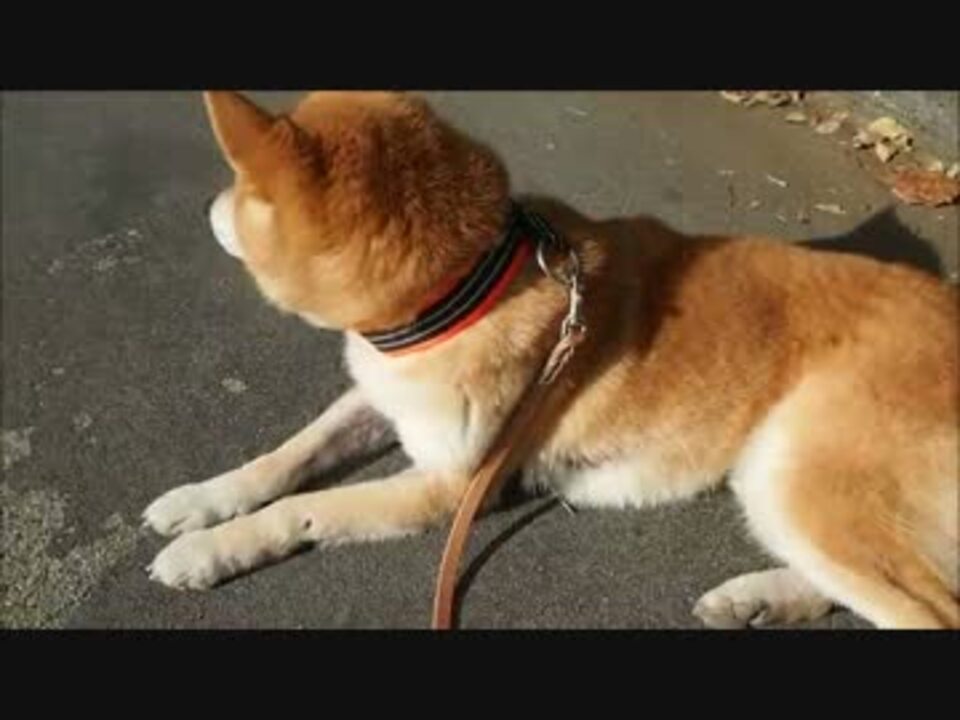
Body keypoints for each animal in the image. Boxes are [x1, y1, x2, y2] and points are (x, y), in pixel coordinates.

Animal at [143, 91, 959, 629]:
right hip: (784, 482)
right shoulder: (380, 397)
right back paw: (758, 598)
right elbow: (285, 457)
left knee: (929, 613)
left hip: (797, 470)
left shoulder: (451, 487)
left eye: (239, 189)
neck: (471, 286)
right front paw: (202, 501)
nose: (205, 208)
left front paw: (210, 550)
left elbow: (301, 509)